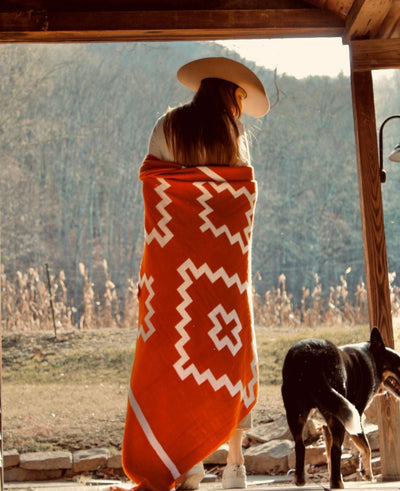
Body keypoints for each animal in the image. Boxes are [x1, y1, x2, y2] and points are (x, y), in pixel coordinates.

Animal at [282, 328, 400, 490]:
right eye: (399, 366)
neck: (372, 359)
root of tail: (311, 356)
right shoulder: (356, 417)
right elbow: (366, 447)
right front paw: (368, 474)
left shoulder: (325, 425)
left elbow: (329, 456)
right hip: (340, 418)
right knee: (337, 449)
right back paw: (337, 484)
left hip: (296, 415)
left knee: (300, 446)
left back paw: (301, 480)